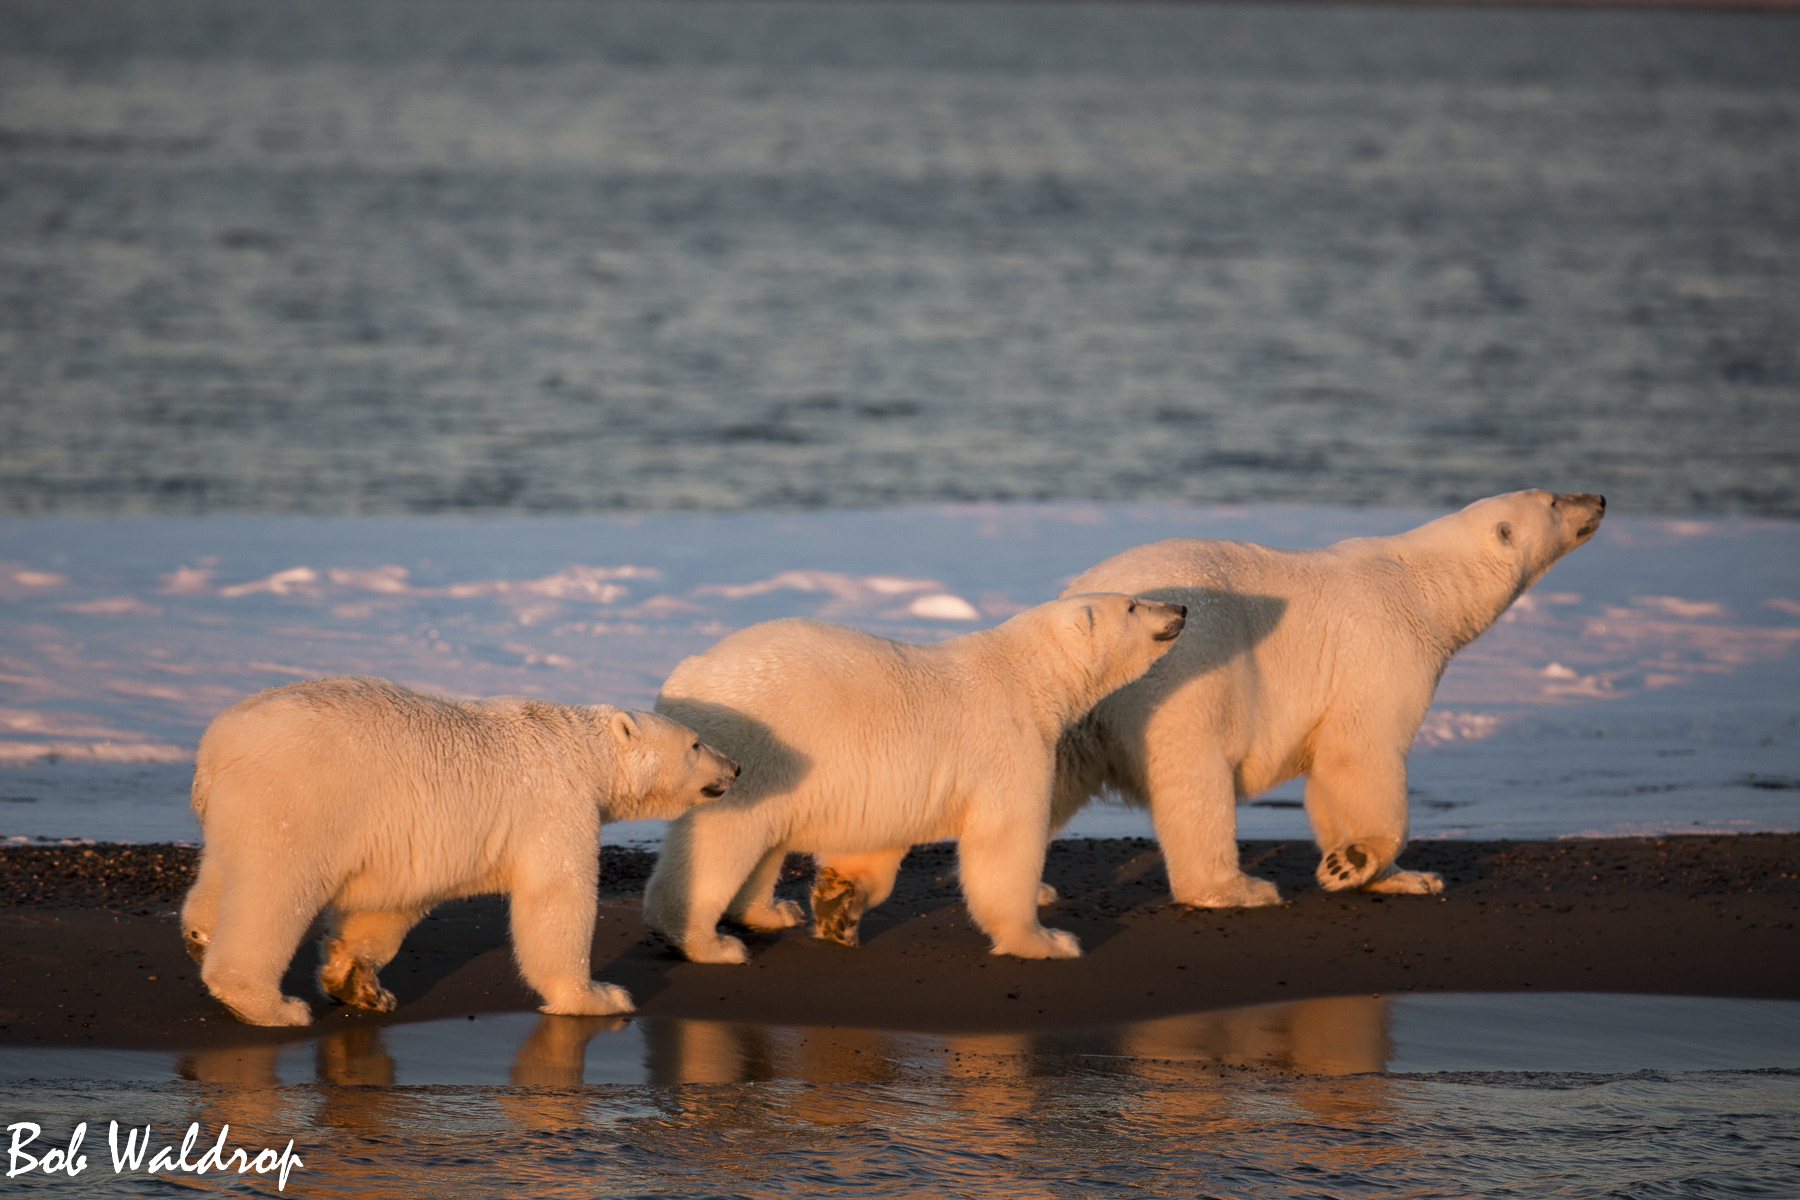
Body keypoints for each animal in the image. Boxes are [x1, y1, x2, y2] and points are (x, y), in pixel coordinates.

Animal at [180, 680, 738, 1029]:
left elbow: (386, 905)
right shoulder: (554, 803)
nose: (734, 767)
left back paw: (199, 935)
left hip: (235, 809)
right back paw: (268, 1004)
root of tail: (216, 745)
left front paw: (360, 984)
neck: (584, 751)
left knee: (222, 874)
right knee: (274, 892)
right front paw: (597, 996)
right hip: (296, 801)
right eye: (695, 743)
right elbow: (556, 897)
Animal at [640, 593, 1188, 964]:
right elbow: (1005, 840)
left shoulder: (898, 777)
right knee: (725, 839)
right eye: (1134, 604)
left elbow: (875, 843)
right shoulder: (1007, 742)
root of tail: (684, 675)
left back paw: (769, 912)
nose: (1180, 607)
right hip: (749, 745)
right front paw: (1047, 940)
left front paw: (840, 903)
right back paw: (707, 942)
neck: (1028, 676)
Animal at [1051, 492, 1605, 906]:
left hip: (1079, 704)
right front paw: (1356, 861)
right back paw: (1236, 888)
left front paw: (1399, 875)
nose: (1598, 498)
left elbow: (1327, 776)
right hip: (1184, 672)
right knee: (1195, 775)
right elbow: (1361, 753)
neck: (1424, 585)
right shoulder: (1382, 648)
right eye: (1554, 500)